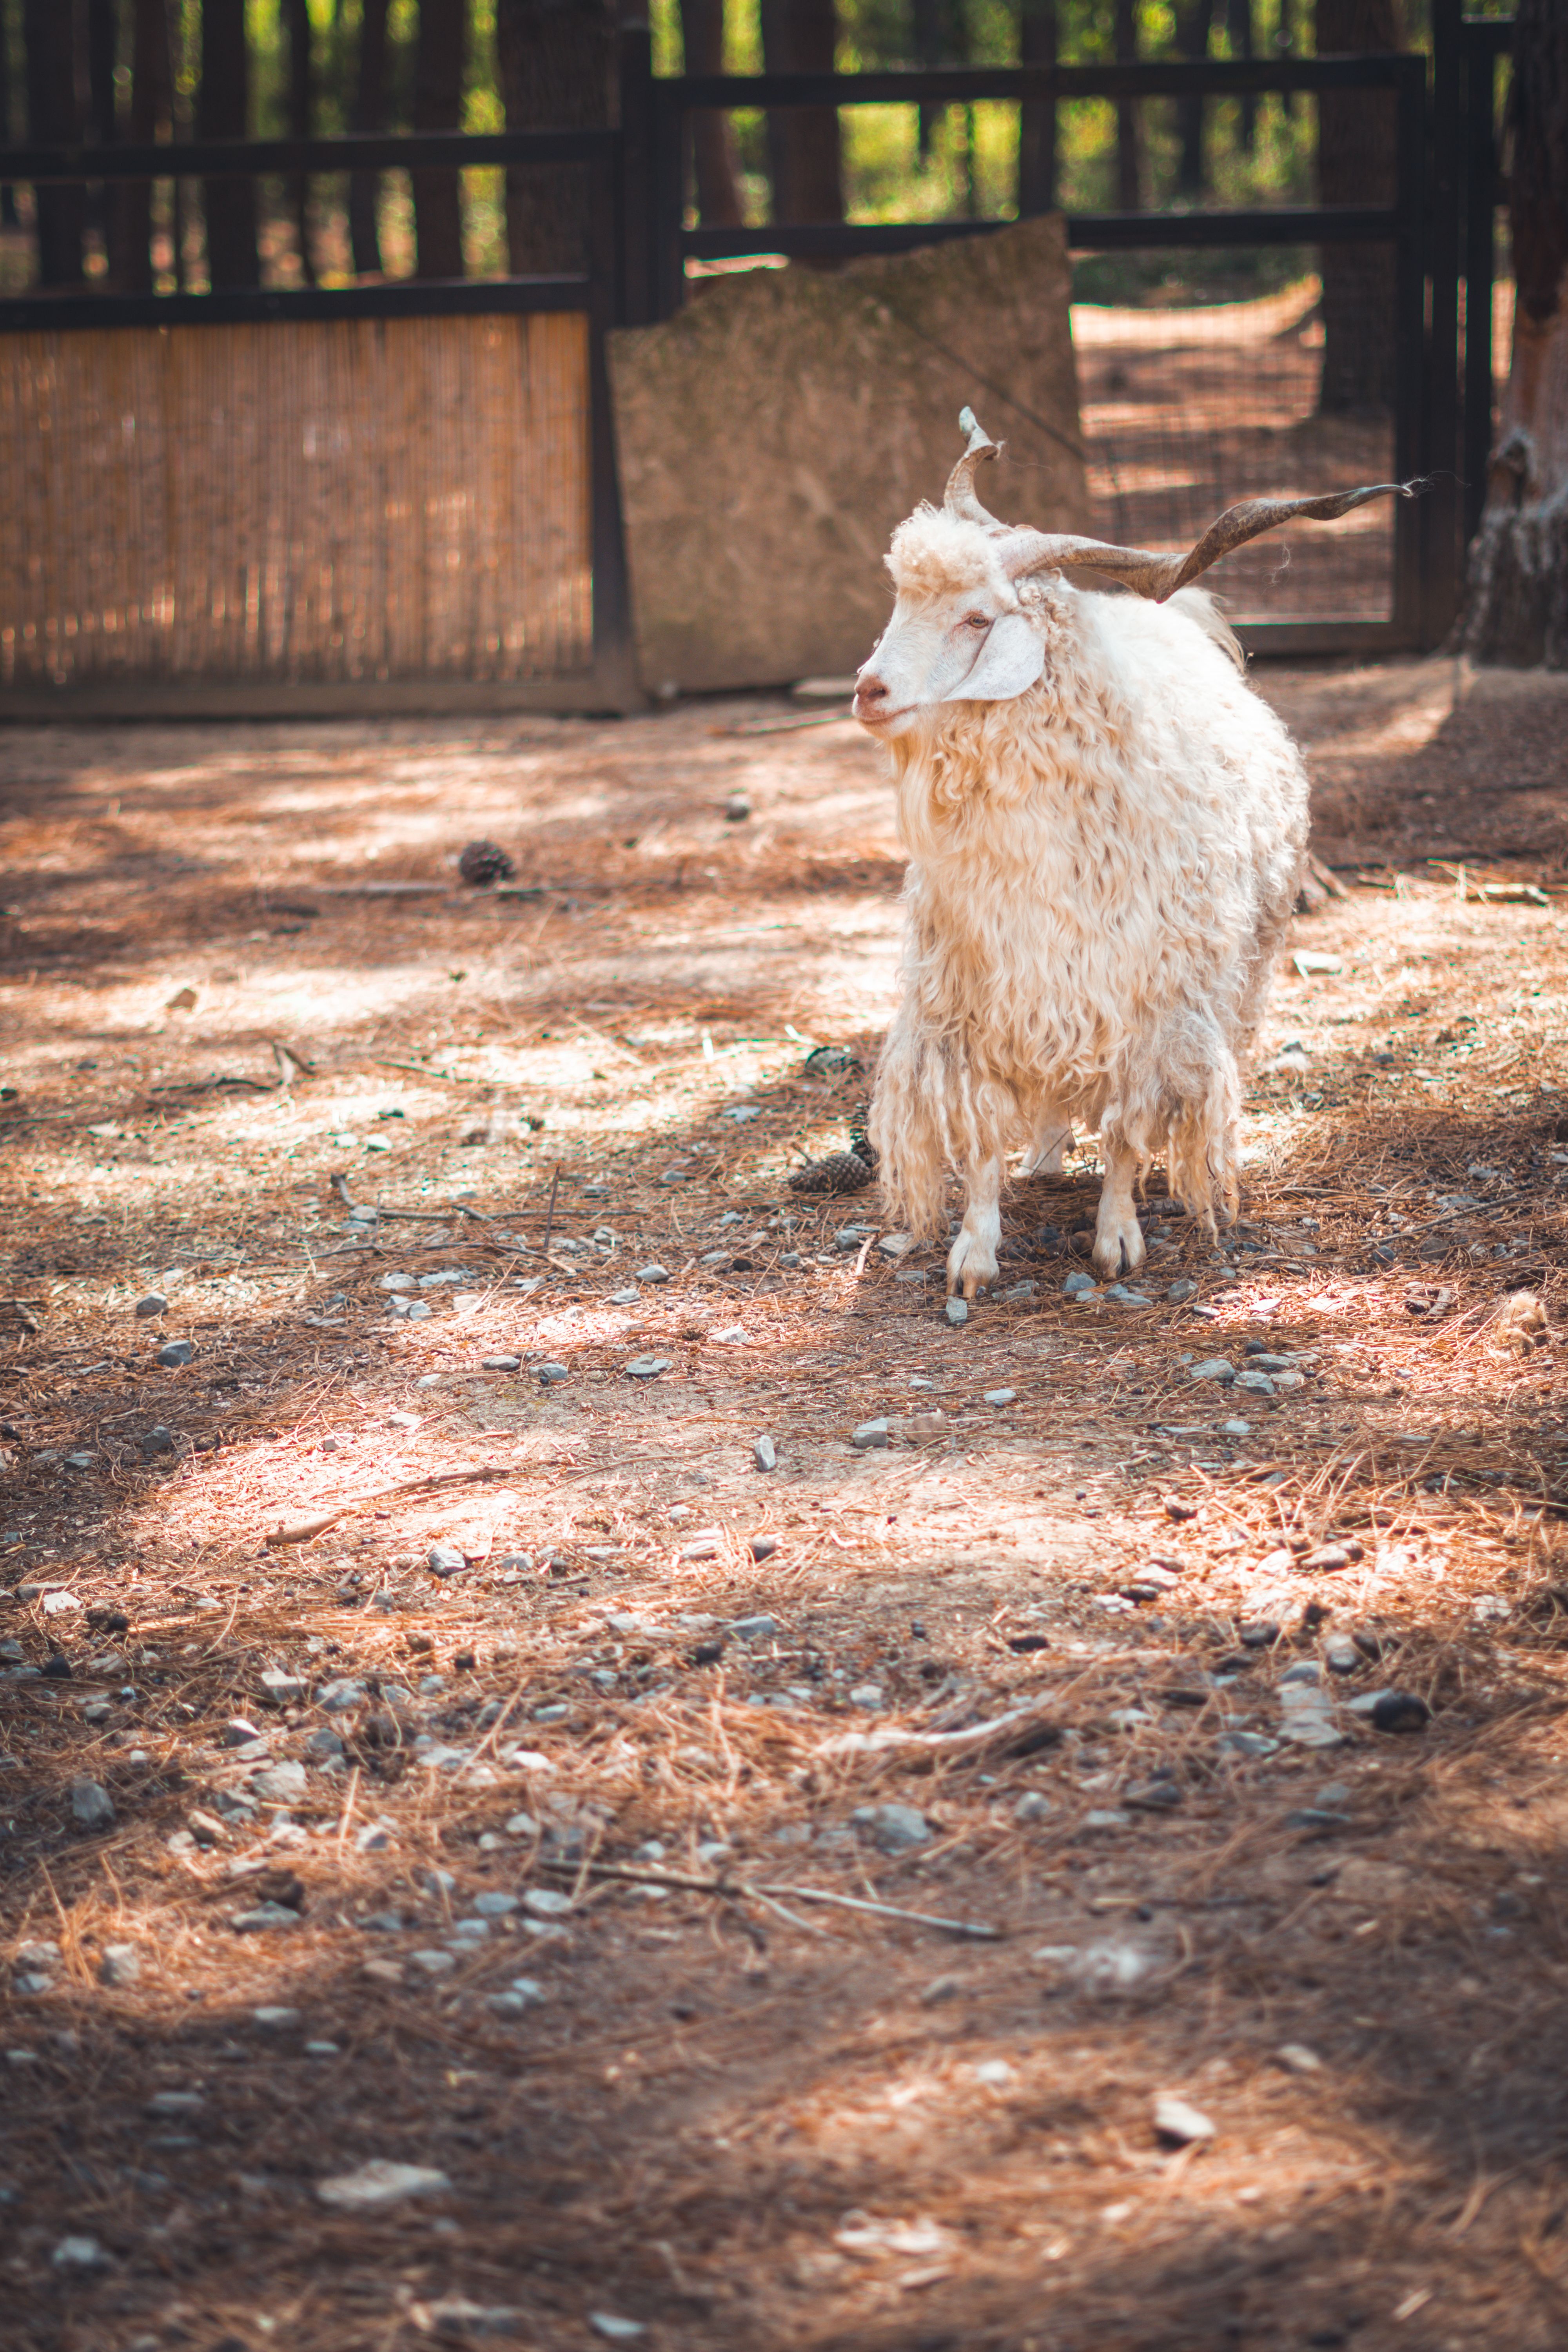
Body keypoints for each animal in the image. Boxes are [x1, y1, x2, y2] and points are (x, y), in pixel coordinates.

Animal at [854, 410, 1410, 1297]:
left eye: (977, 618)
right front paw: (973, 1253)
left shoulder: (1149, 1011)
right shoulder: (975, 1005)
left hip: (1239, 972)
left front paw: (1117, 1239)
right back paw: (1047, 1154)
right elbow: (981, 1140)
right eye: (902, 600)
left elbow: (1124, 1130)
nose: (869, 690)